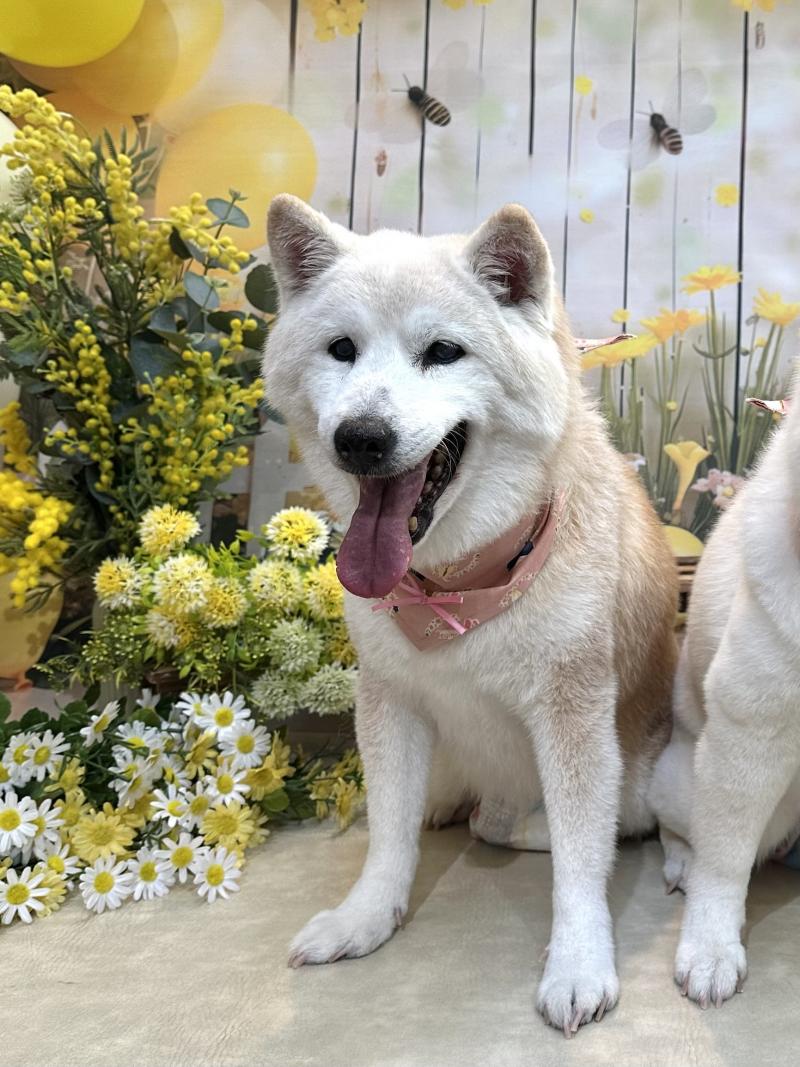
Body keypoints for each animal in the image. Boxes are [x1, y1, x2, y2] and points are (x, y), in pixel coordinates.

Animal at [263, 195, 678, 1034]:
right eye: (341, 349)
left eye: (443, 352)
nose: (360, 437)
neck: (454, 588)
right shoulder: (389, 698)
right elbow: (388, 832)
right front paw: (366, 916)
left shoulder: (573, 709)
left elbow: (582, 855)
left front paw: (578, 962)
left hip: (644, 777)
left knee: (563, 824)